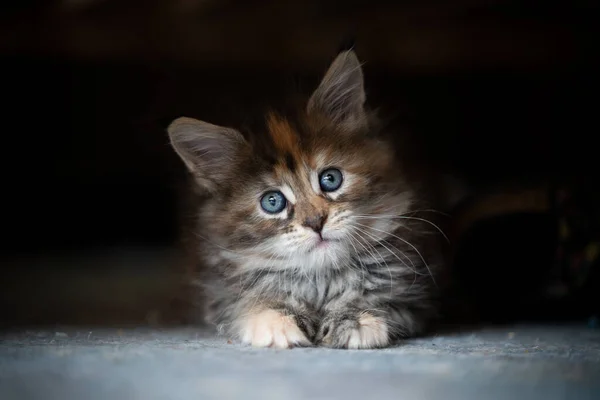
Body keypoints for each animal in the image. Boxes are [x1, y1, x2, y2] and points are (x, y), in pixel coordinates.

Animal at [166, 50, 442, 350]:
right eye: (272, 202)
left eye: (330, 179)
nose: (316, 222)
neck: (321, 280)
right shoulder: (219, 293)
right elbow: (249, 304)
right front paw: (276, 320)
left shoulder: (414, 294)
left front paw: (356, 318)